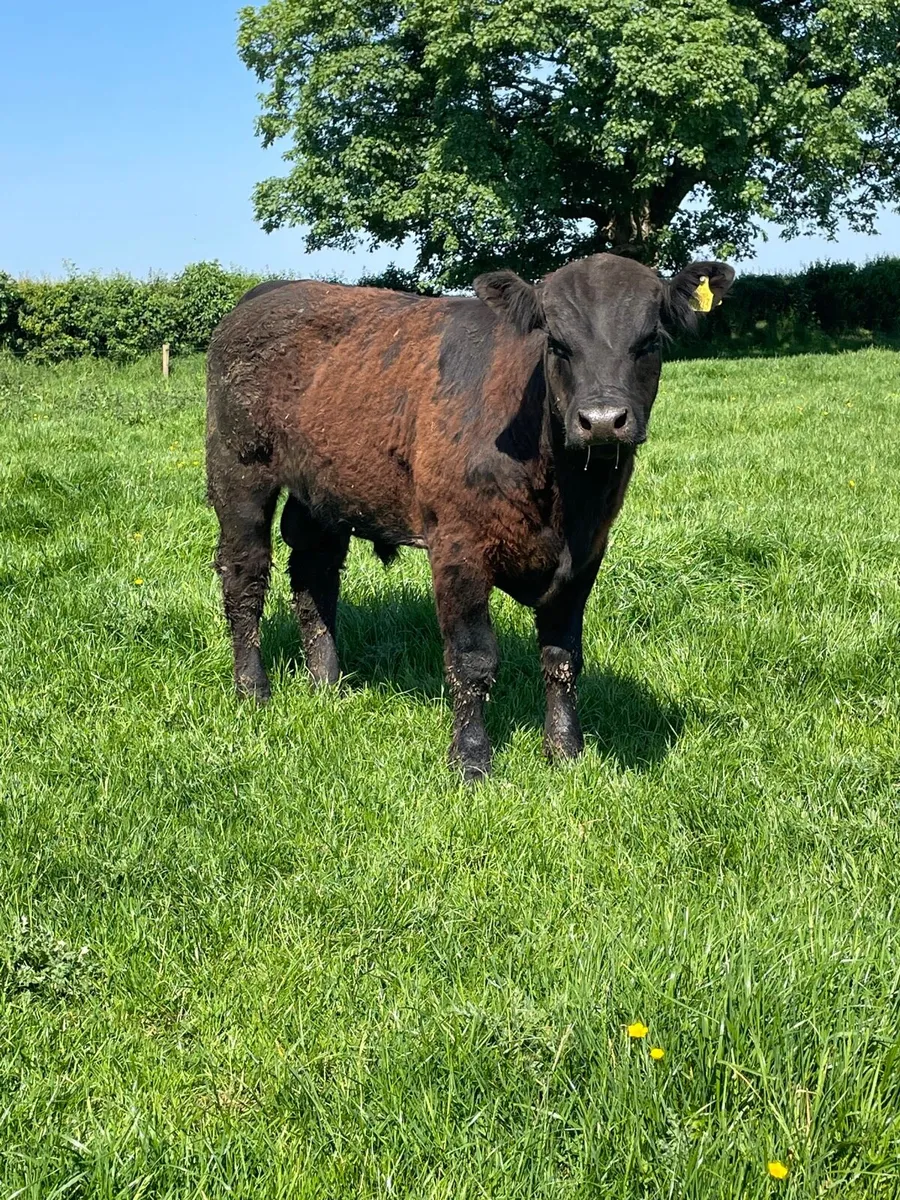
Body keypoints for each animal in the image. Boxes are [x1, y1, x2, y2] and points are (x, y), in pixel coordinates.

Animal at [206, 253, 734, 780]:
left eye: (650, 341)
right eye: (556, 344)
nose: (602, 421)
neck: (565, 495)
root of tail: (266, 294)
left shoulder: (586, 556)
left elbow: (562, 655)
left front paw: (566, 753)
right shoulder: (458, 549)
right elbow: (472, 658)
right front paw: (472, 760)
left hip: (323, 493)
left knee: (314, 576)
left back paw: (327, 683)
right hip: (238, 475)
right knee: (244, 578)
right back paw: (253, 689)